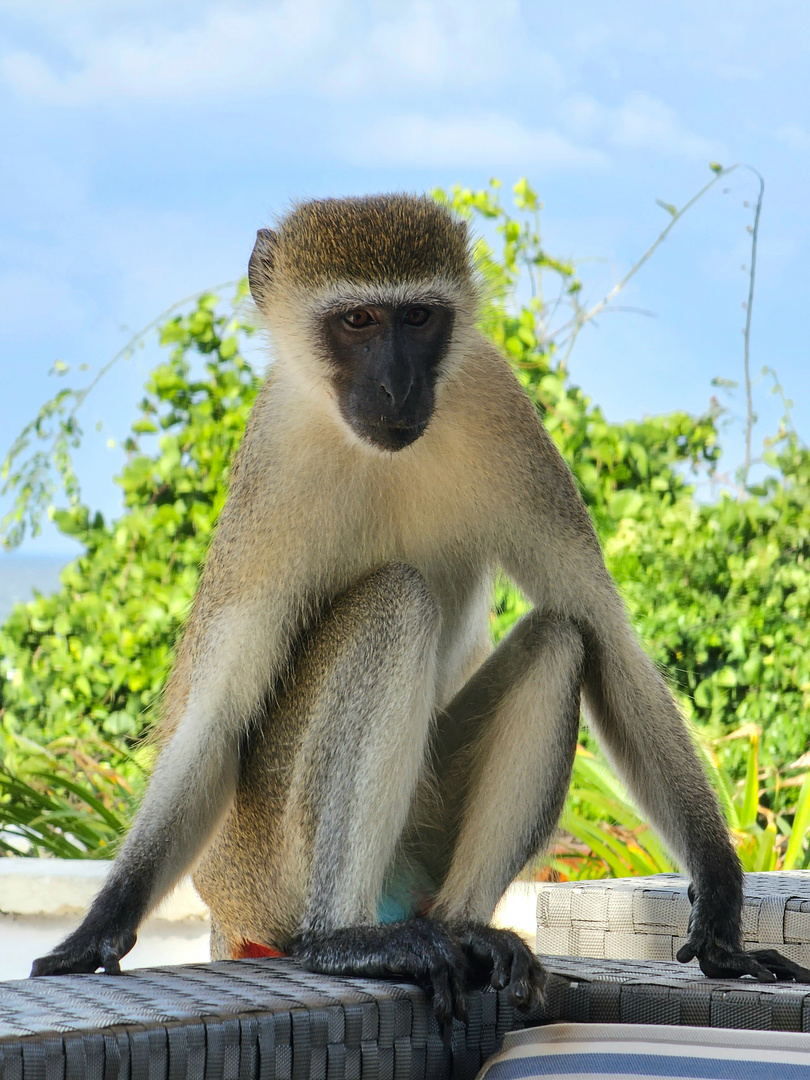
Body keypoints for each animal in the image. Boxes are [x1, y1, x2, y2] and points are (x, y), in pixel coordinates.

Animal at [31, 196, 810, 1019]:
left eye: (418, 318)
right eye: (359, 320)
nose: (399, 388)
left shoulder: (498, 402)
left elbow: (603, 632)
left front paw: (720, 898)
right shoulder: (271, 467)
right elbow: (218, 713)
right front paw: (100, 925)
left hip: (421, 837)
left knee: (560, 640)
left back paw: (468, 932)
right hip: (266, 860)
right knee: (394, 601)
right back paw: (343, 940)